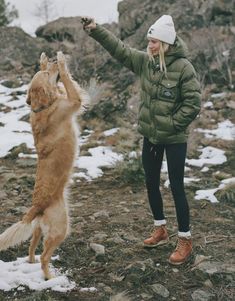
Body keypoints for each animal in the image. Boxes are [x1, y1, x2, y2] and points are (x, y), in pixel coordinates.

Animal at [0, 51, 89, 278]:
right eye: (48, 74)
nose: (52, 60)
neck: (41, 107)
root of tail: (37, 206)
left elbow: (65, 84)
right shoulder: (73, 101)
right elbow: (67, 80)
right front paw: (62, 61)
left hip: (39, 229)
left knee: (32, 249)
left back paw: (31, 265)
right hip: (61, 228)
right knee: (44, 257)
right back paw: (50, 278)